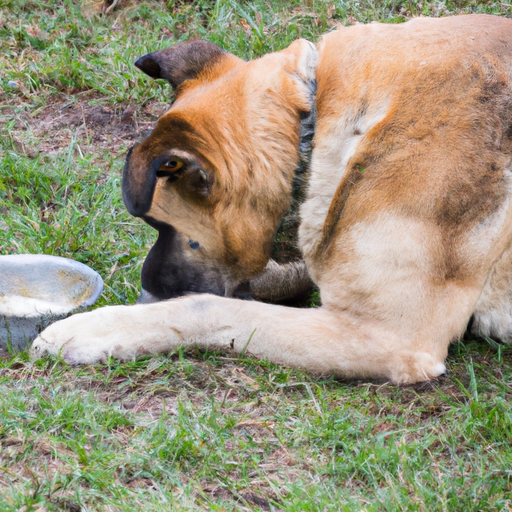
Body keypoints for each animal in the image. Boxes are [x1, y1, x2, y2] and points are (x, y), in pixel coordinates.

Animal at [32, 14, 512, 384]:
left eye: (160, 224)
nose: (146, 292)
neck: (313, 122)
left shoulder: (390, 336)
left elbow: (207, 306)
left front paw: (100, 327)